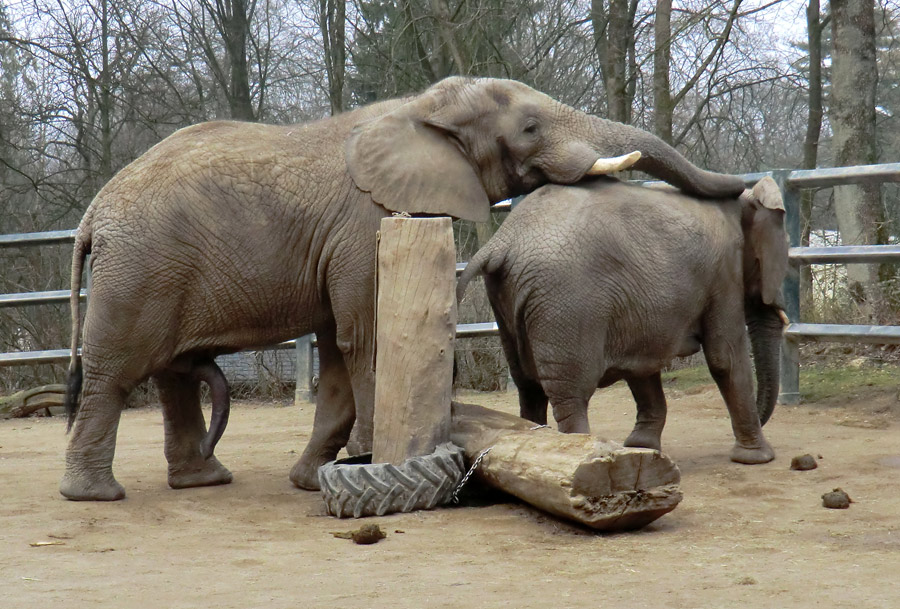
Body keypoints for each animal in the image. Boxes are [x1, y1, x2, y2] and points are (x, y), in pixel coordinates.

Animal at [63, 76, 748, 498]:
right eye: (529, 127)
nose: (744, 191)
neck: (422, 108)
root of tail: (93, 213)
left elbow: (340, 354)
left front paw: (314, 478)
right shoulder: (368, 222)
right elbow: (364, 336)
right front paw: (369, 463)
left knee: (171, 374)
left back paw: (203, 481)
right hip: (138, 268)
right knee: (117, 370)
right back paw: (96, 494)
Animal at [458, 175, 788, 460]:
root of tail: (503, 243)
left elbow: (642, 365)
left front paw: (641, 447)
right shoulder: (723, 274)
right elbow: (725, 358)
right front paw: (758, 458)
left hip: (507, 299)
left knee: (529, 388)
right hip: (566, 302)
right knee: (571, 393)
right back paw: (585, 454)